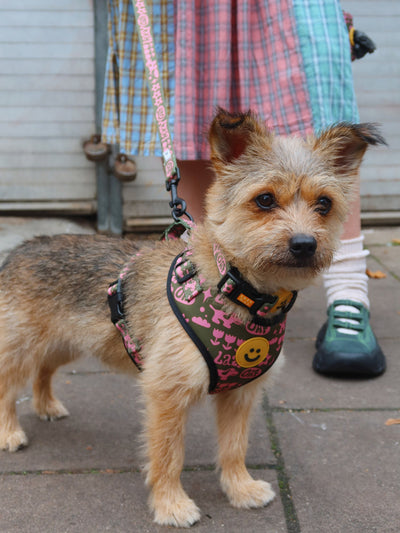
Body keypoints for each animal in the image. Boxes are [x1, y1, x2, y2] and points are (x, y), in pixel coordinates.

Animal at [0, 109, 384, 528]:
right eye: (265, 199)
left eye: (325, 204)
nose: (304, 244)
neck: (238, 291)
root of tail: (21, 248)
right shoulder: (166, 393)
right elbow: (168, 455)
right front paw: (171, 505)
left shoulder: (241, 395)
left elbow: (234, 447)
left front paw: (240, 489)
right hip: (21, 348)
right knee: (7, 387)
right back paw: (9, 432)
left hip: (66, 343)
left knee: (44, 370)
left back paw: (46, 405)